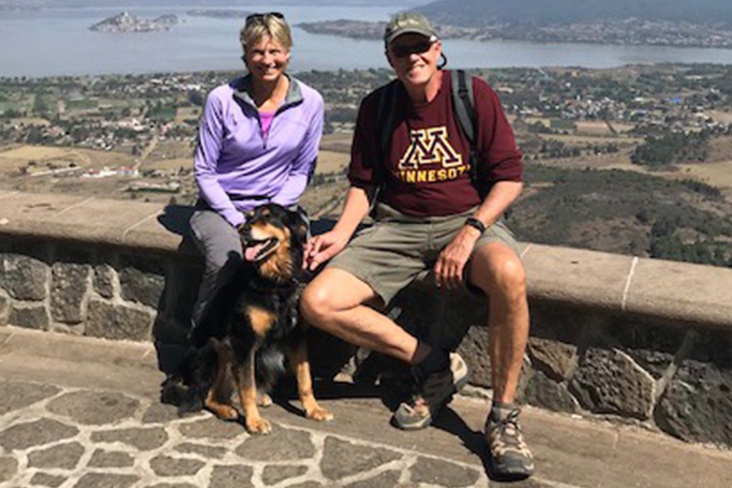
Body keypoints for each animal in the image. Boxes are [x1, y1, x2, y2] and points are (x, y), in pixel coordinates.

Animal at [179, 204, 334, 432]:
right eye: (249, 217)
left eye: (268, 217)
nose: (243, 229)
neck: (275, 280)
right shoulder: (243, 341)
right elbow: (247, 386)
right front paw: (254, 422)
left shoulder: (297, 337)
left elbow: (305, 378)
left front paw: (313, 410)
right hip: (217, 347)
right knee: (208, 395)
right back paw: (227, 410)